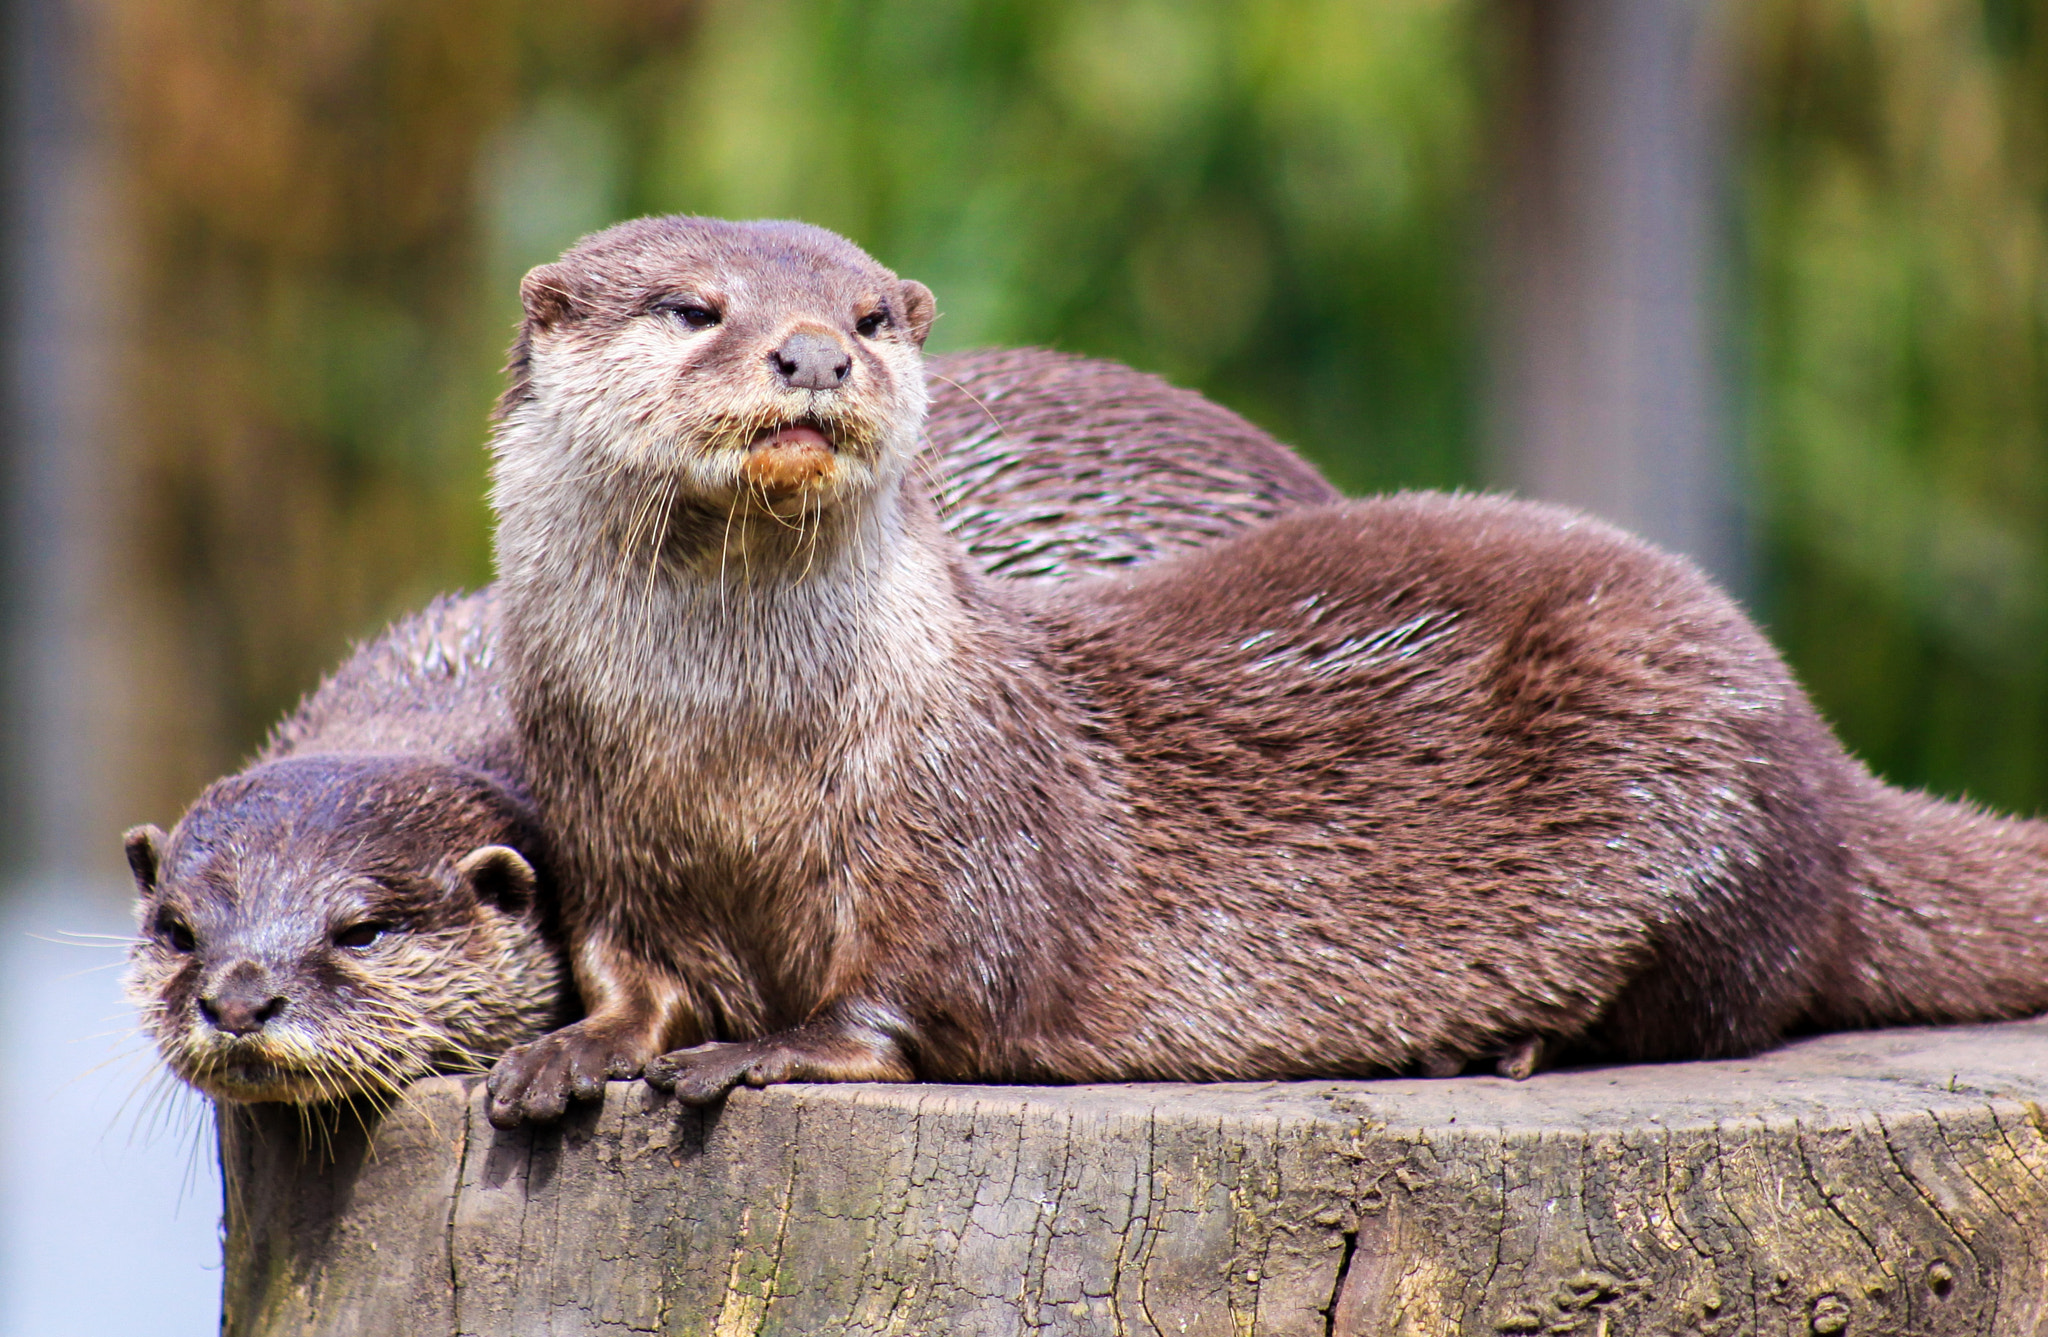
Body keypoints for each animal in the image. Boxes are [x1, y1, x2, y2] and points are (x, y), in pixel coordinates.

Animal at [481, 215, 2048, 1127]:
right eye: (694, 307)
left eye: (868, 315)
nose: (812, 355)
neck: (731, 749)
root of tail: (1822, 756)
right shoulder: (603, 830)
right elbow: (619, 968)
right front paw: (575, 1054)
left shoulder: (973, 821)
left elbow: (923, 987)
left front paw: (760, 1050)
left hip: (1689, 781)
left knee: (1723, 994)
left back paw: (1505, 1047)